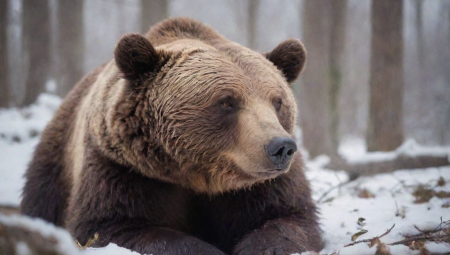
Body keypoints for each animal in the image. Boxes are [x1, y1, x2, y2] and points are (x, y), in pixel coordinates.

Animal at [21, 16, 322, 254]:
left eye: (277, 101)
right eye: (227, 101)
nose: (281, 147)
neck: (198, 175)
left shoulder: (261, 186)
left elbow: (288, 219)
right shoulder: (123, 168)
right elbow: (109, 226)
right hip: (56, 163)